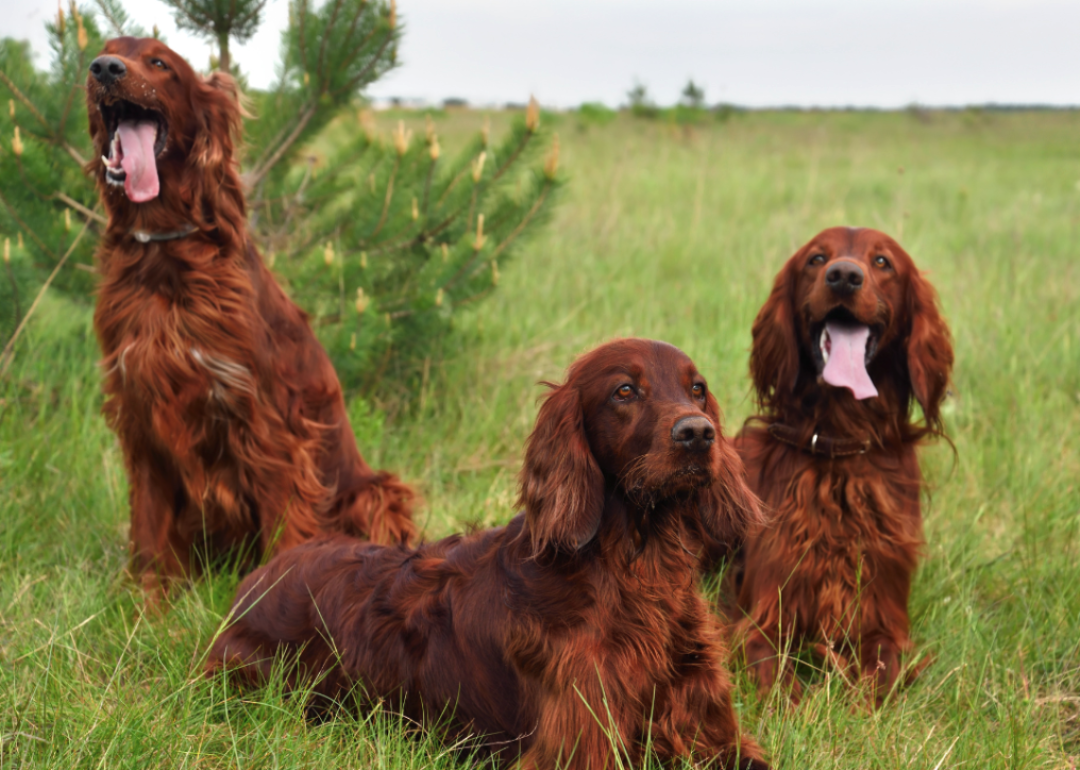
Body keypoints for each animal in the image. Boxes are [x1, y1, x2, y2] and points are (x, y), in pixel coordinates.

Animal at [82, 39, 412, 596]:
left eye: (160, 63)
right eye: (105, 51)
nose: (104, 68)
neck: (163, 260)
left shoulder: (267, 423)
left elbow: (284, 528)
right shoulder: (141, 414)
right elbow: (148, 534)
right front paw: (145, 607)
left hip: (377, 492)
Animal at [206, 341, 773, 768]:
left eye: (697, 388)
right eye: (625, 390)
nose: (698, 433)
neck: (637, 572)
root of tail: (256, 579)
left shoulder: (713, 734)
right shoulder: (578, 745)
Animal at [708, 225, 954, 704]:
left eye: (882, 262)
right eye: (817, 259)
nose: (843, 276)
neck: (839, 444)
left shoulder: (883, 616)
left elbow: (882, 670)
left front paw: (856, 699)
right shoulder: (762, 614)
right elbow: (773, 672)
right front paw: (801, 704)